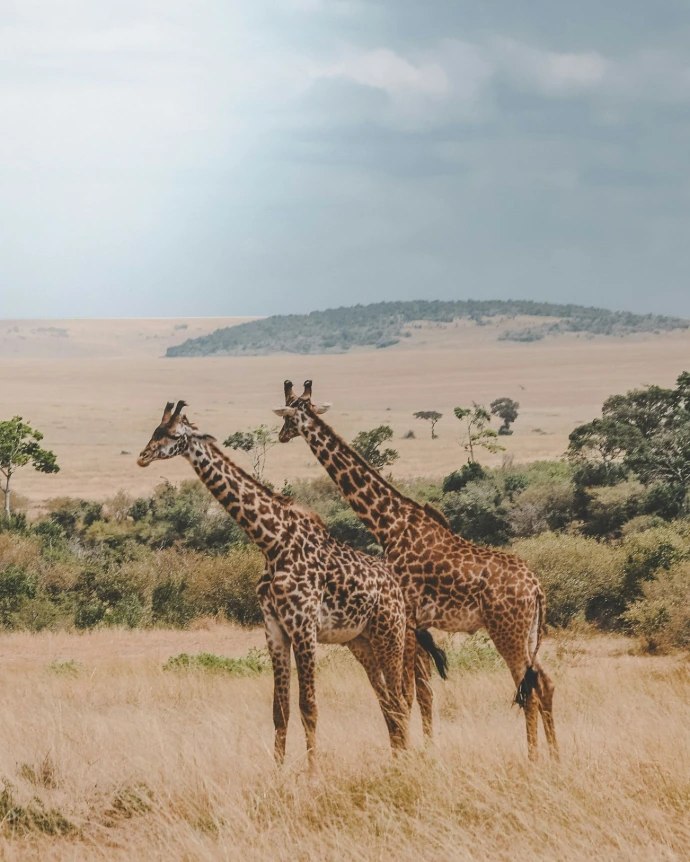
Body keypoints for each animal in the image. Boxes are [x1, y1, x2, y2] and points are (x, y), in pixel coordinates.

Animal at [137, 400, 427, 766]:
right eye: (155, 431)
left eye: (174, 435)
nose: (143, 456)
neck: (272, 542)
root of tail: (398, 590)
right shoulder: (274, 628)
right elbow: (280, 710)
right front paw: (278, 771)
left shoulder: (303, 627)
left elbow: (309, 706)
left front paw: (313, 771)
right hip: (361, 641)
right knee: (388, 702)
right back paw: (396, 760)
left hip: (389, 633)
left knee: (401, 700)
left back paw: (403, 763)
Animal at [274, 382, 558, 760]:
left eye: (289, 415)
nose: (280, 436)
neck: (388, 523)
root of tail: (537, 588)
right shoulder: (417, 623)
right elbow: (421, 692)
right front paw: (424, 750)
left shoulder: (406, 617)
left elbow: (407, 695)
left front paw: (408, 754)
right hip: (527, 633)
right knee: (545, 683)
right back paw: (555, 756)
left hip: (506, 632)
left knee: (526, 690)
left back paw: (532, 758)